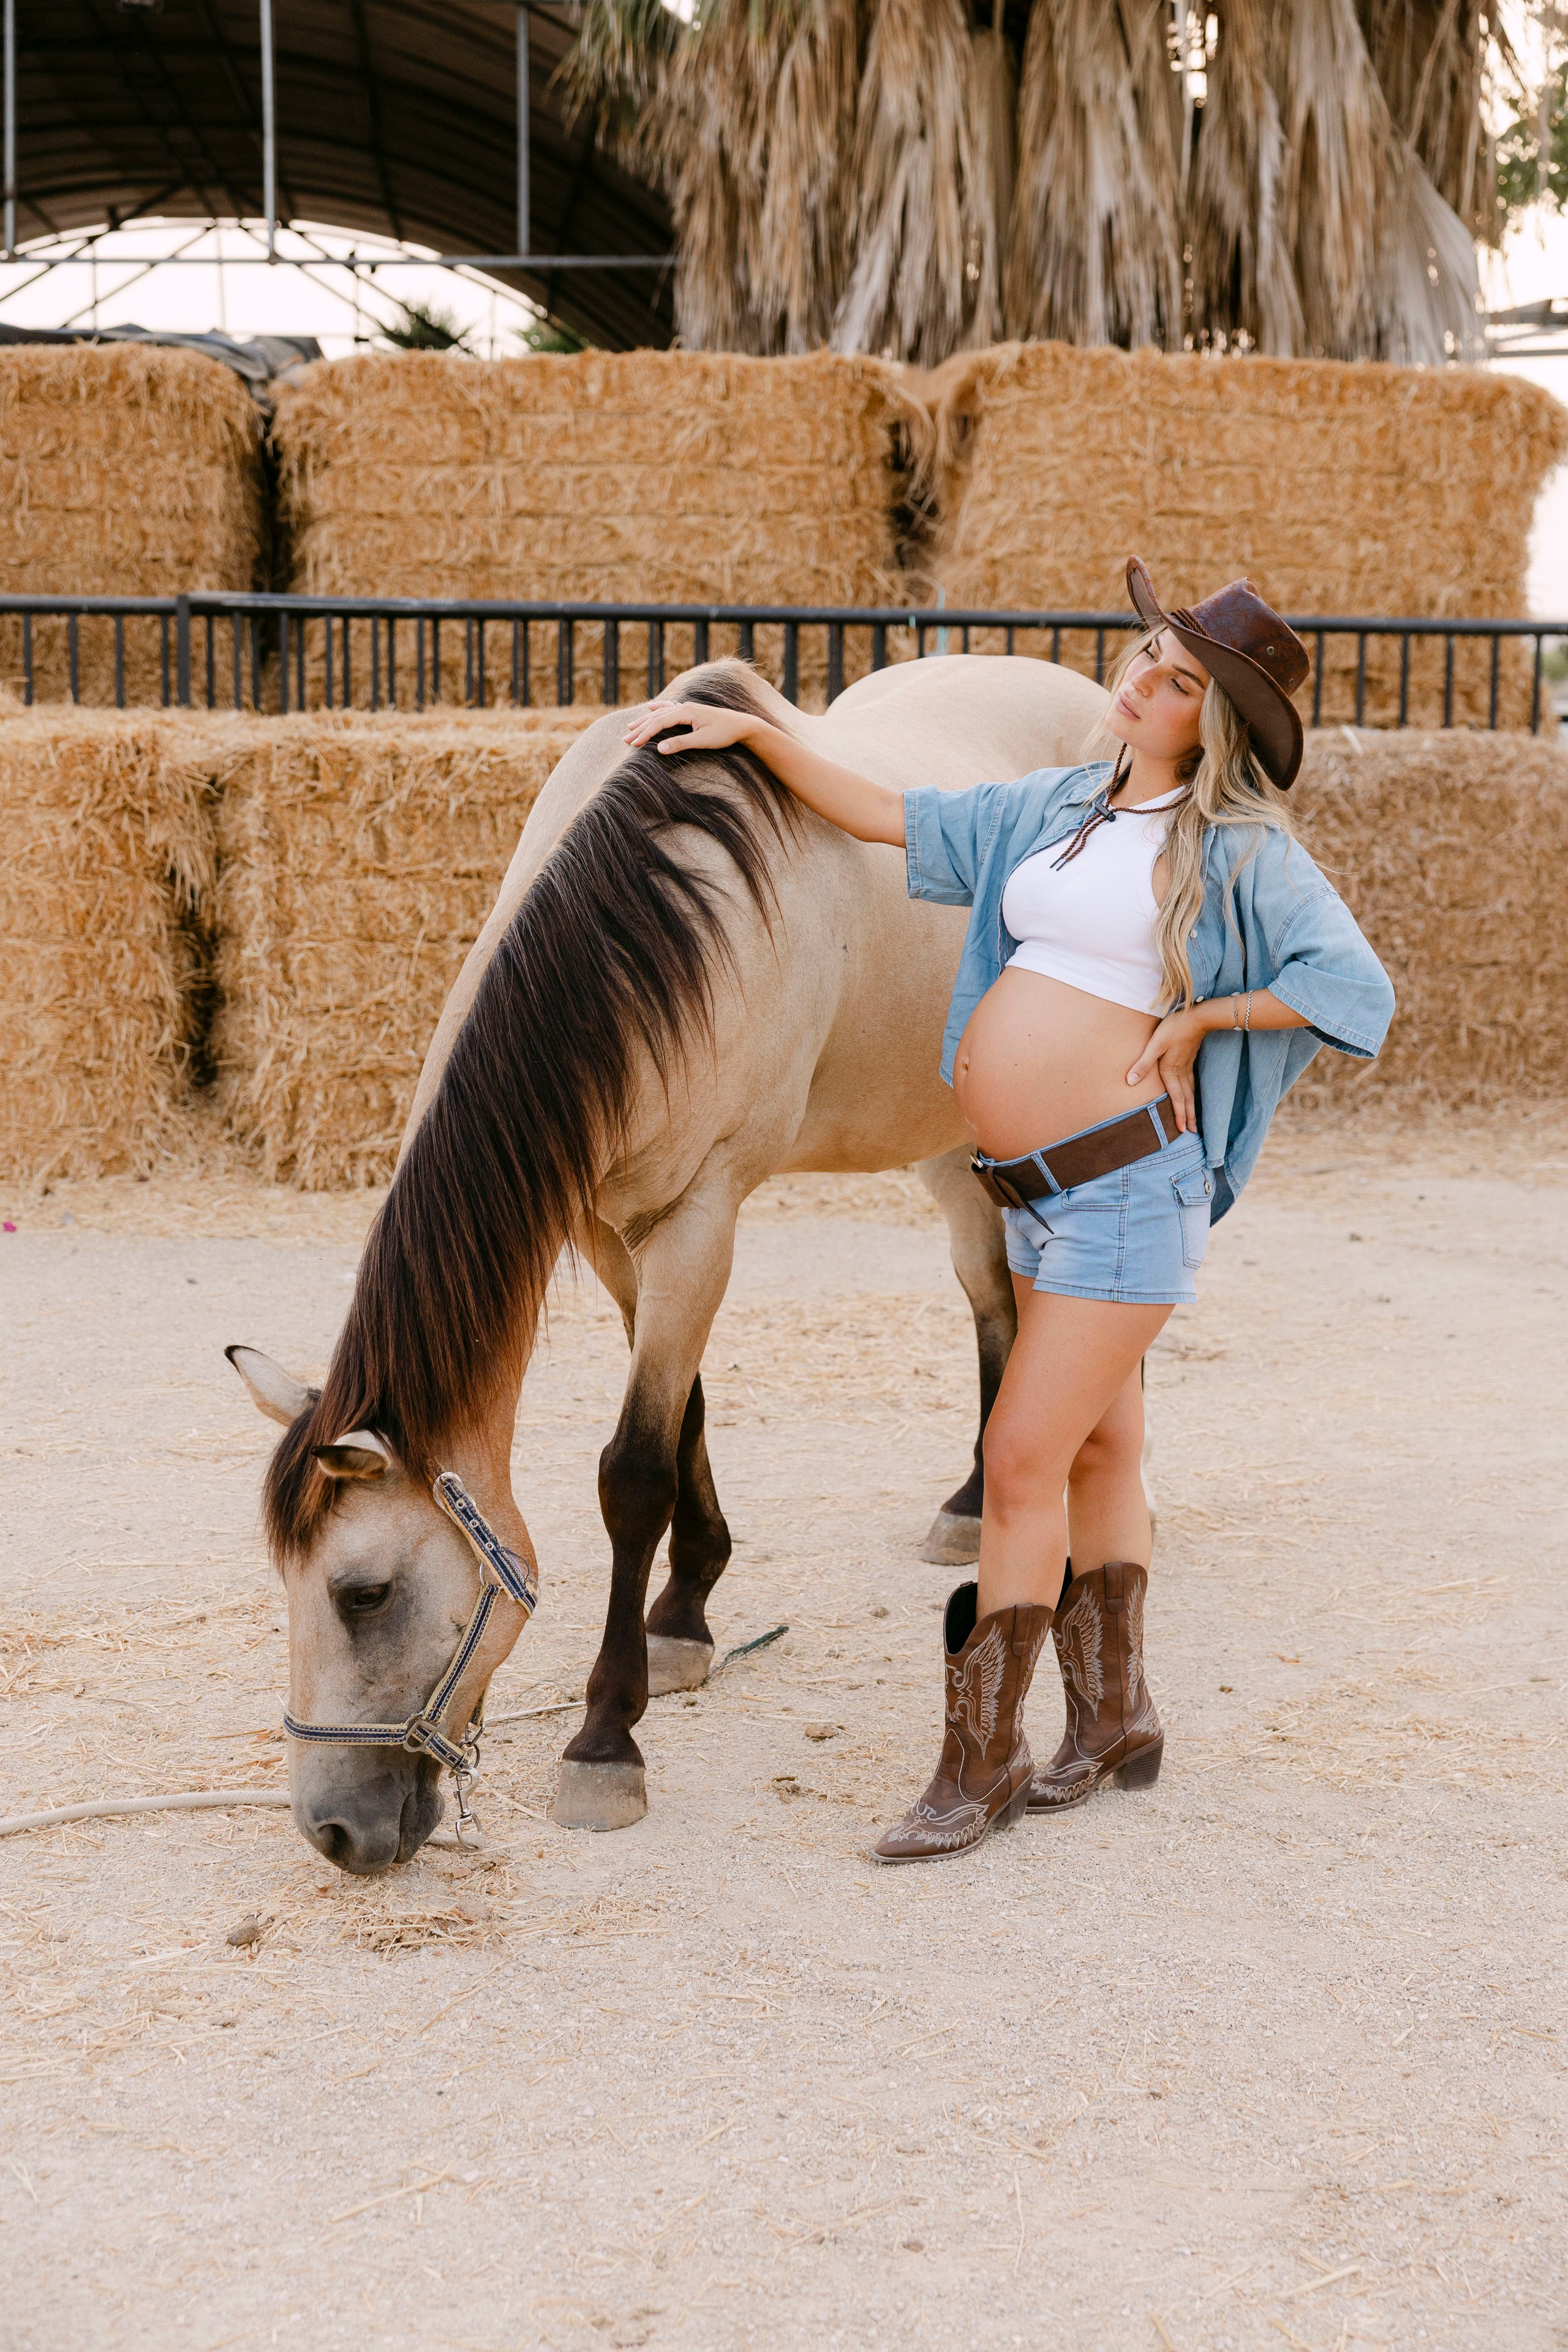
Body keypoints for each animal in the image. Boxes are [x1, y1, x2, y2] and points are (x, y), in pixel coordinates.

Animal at [229, 653, 1110, 1870]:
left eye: (363, 1594)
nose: (331, 1831)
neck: (656, 922)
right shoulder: (615, 1230)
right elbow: (681, 1411)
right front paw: (685, 1617)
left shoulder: (702, 1213)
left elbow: (632, 1470)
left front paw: (606, 1738)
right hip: (947, 1144)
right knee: (994, 1311)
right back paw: (977, 1507)